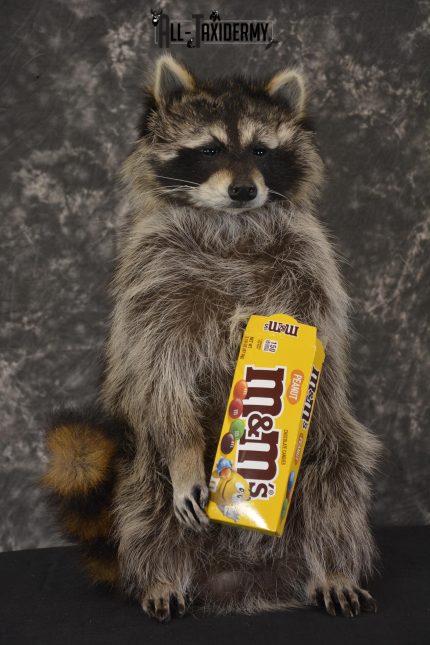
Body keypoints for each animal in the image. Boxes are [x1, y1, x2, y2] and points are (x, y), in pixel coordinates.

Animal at [42, 54, 382, 621]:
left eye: (261, 151)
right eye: (209, 150)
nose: (244, 190)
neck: (230, 225)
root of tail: (241, 580)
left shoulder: (307, 265)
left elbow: (320, 340)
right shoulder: (154, 279)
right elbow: (161, 373)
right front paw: (184, 458)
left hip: (330, 454)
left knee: (334, 483)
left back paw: (332, 568)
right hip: (136, 455)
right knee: (145, 496)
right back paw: (161, 574)